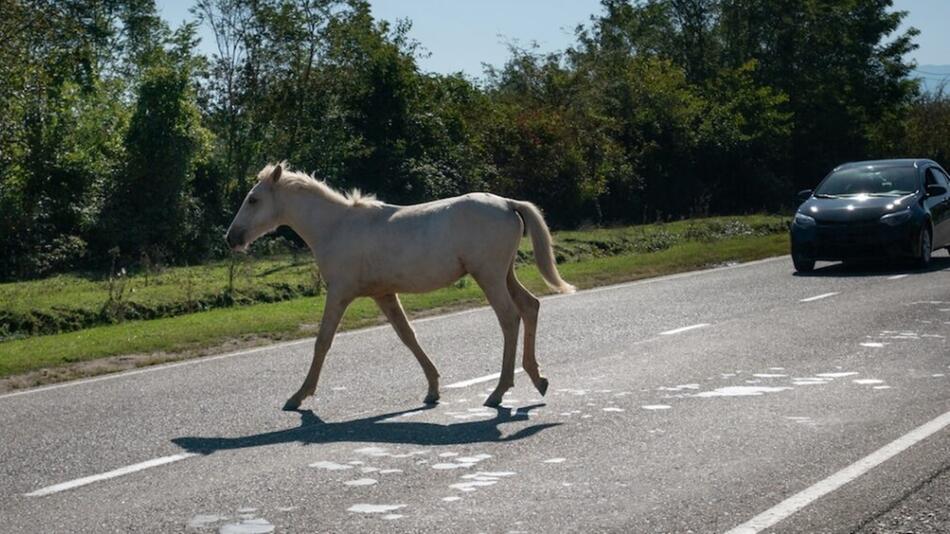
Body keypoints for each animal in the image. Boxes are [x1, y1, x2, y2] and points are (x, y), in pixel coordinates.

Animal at [227, 163, 576, 410]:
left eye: (253, 199)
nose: (232, 238)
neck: (336, 227)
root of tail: (507, 203)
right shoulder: (383, 294)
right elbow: (408, 336)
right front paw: (433, 389)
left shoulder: (339, 293)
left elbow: (322, 341)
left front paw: (299, 396)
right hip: (504, 274)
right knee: (530, 306)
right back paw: (537, 378)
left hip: (489, 276)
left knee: (510, 318)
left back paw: (499, 391)